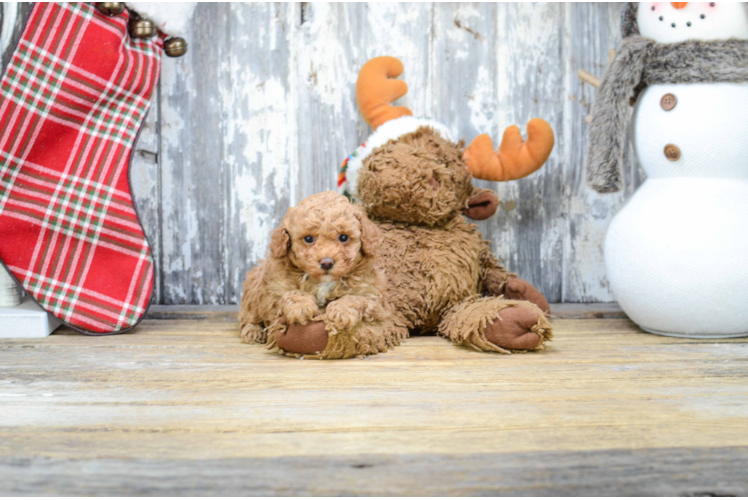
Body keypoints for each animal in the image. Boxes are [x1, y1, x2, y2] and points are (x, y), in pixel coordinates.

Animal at [238, 191, 404, 360]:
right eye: (308, 239)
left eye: (343, 237)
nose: (326, 262)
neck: (323, 282)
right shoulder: (275, 291)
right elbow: (290, 294)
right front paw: (301, 307)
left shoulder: (373, 296)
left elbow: (356, 298)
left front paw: (341, 311)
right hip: (254, 286)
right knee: (248, 315)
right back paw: (254, 331)